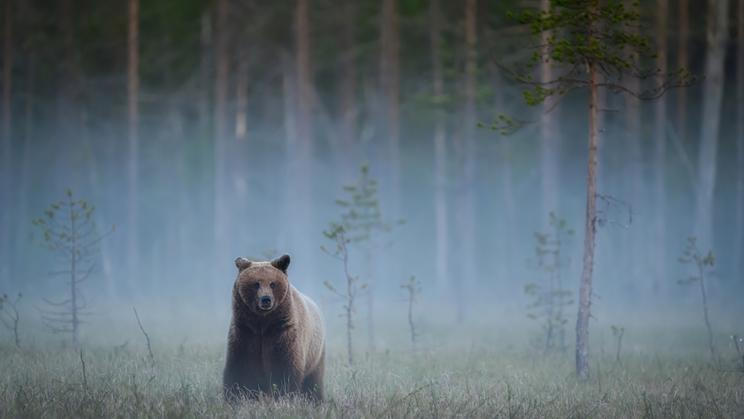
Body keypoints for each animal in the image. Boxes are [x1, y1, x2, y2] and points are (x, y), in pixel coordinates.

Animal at [222, 254, 325, 403]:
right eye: (256, 284)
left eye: (272, 283)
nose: (266, 299)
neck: (262, 323)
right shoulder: (244, 331)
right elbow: (239, 366)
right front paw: (235, 396)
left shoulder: (281, 332)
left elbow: (284, 367)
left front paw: (283, 396)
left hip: (315, 354)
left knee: (313, 381)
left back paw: (316, 400)